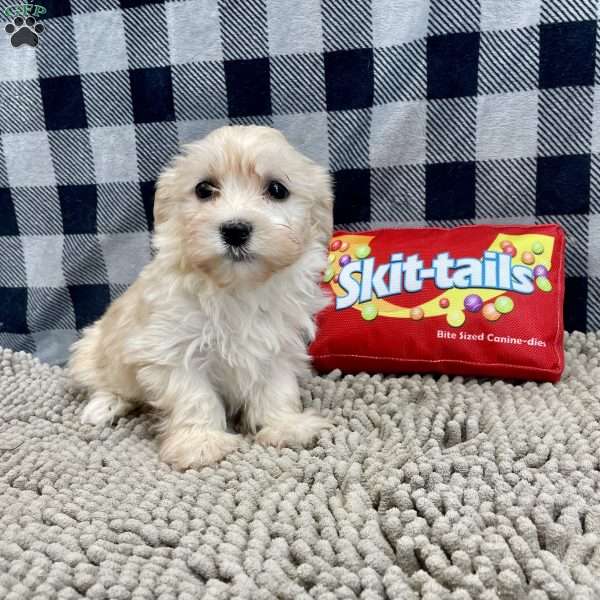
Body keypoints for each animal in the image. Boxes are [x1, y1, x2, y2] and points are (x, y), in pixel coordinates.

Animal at [69, 126, 338, 472]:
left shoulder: (279, 344)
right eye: (204, 189)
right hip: (92, 347)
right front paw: (200, 443)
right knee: (105, 382)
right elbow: (195, 397)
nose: (235, 229)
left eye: (277, 190)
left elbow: (277, 388)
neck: (236, 288)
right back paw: (103, 407)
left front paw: (285, 425)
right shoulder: (171, 349)